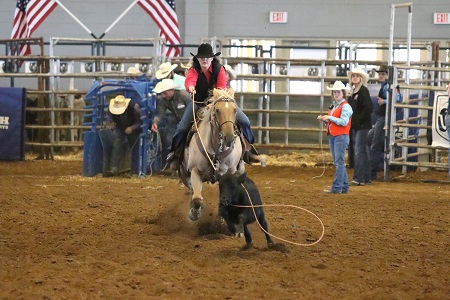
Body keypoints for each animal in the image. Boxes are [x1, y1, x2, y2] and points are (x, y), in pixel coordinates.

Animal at [178, 88, 246, 220]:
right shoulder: (195, 170)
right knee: (192, 190)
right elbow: (197, 198)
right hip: (184, 172)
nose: (229, 138)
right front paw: (194, 213)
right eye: (217, 110)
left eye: (235, 110)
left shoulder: (230, 173)